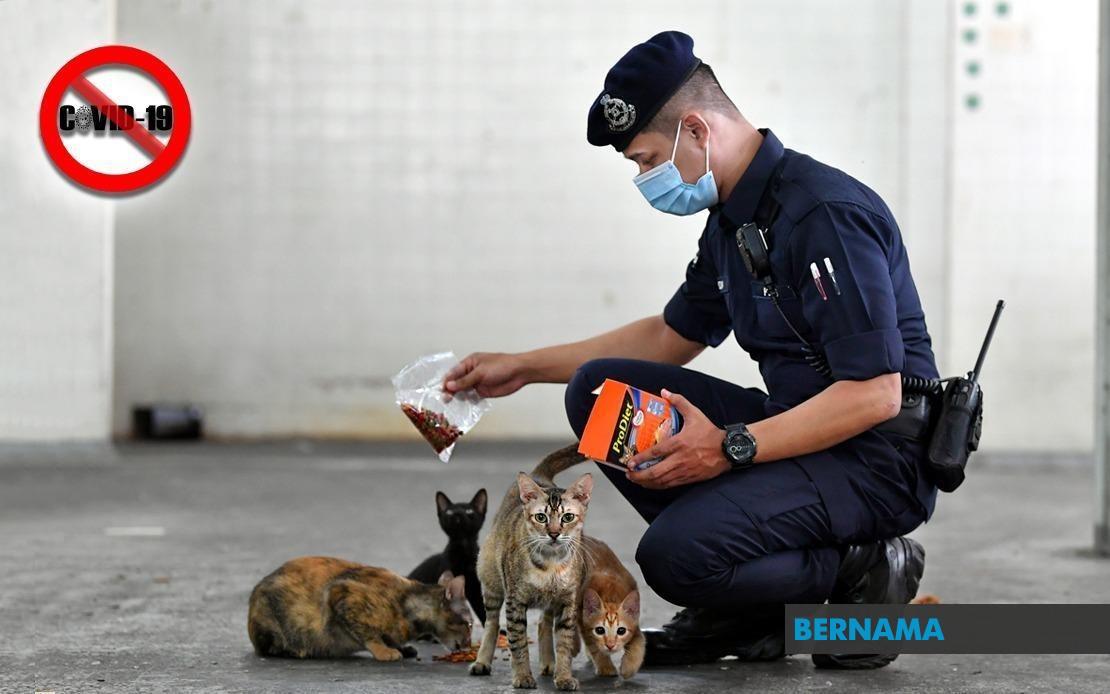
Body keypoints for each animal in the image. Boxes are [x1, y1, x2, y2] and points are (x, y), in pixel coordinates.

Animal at [247, 557, 468, 661]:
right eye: (469, 623)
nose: (468, 644)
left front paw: (401, 648)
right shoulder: (342, 594)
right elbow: (369, 634)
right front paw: (384, 651)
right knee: (267, 649)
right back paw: (294, 651)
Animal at [408, 486, 486, 621]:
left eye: (469, 511)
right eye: (449, 512)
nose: (457, 514)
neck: (462, 550)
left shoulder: (476, 590)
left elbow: (484, 614)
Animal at [466, 444, 594, 688]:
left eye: (568, 517)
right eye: (541, 517)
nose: (554, 533)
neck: (552, 565)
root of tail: (539, 474)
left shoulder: (568, 603)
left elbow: (564, 644)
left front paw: (564, 676)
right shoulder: (515, 601)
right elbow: (518, 643)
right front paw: (523, 676)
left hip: (552, 601)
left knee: (544, 622)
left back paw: (549, 662)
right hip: (491, 582)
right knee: (492, 623)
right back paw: (482, 661)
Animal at [577, 535, 648, 675]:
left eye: (621, 631)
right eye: (599, 630)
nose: (610, 645)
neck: (611, 595)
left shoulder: (634, 622)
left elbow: (639, 641)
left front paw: (629, 666)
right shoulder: (582, 621)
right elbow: (595, 647)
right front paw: (606, 667)